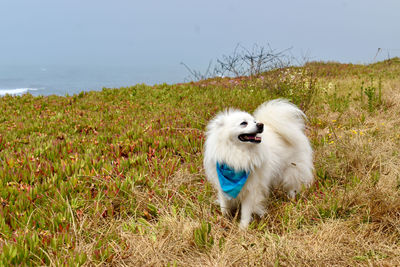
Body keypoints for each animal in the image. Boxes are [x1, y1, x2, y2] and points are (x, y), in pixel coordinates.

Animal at [205, 99, 314, 229]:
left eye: (254, 121)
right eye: (243, 123)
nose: (260, 125)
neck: (238, 154)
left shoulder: (251, 189)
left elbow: (246, 211)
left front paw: (243, 228)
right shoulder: (222, 186)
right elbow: (224, 206)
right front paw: (224, 220)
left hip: (291, 171)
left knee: (292, 187)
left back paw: (291, 201)